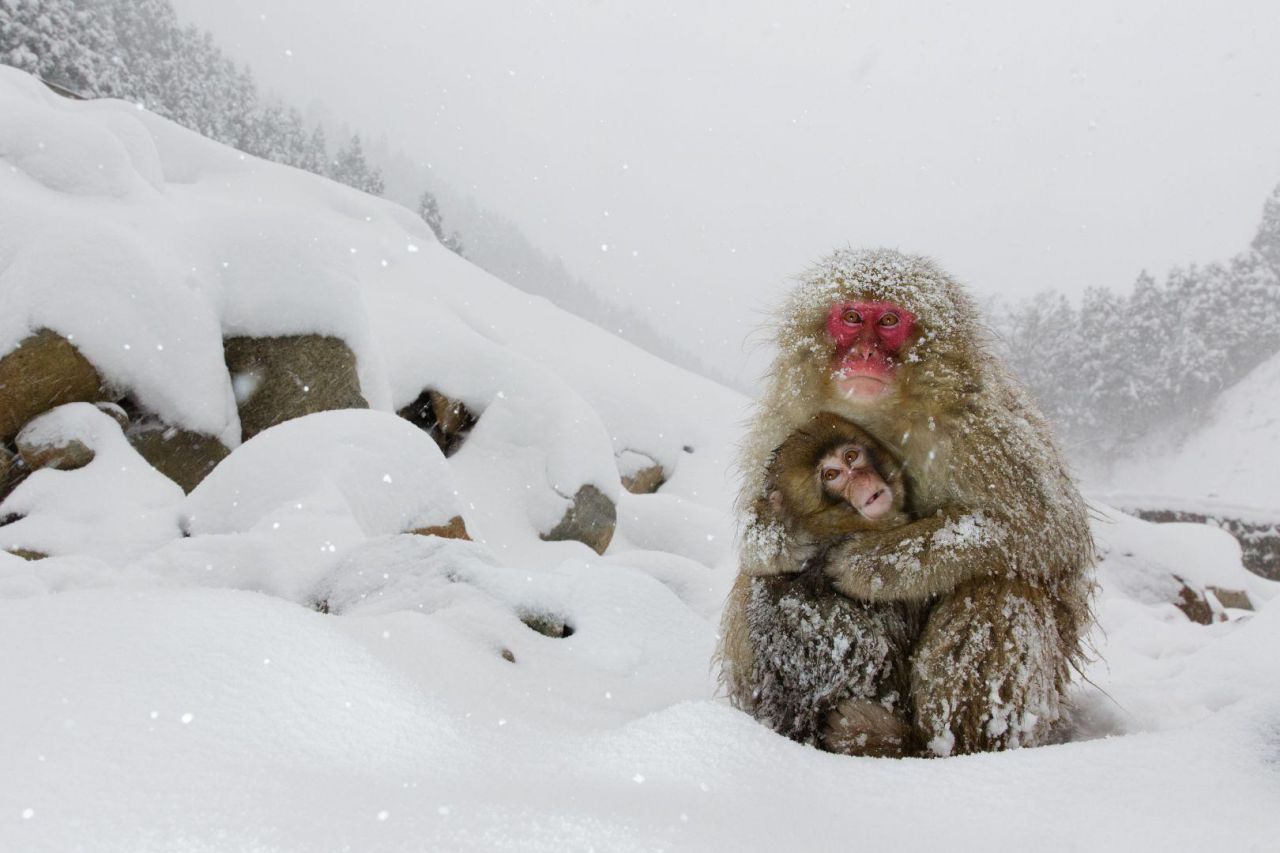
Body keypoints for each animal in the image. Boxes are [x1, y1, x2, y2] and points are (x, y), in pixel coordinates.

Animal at [719, 248, 1095, 758]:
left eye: (889, 320)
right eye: (852, 318)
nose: (865, 353)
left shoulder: (981, 428)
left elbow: (1049, 531)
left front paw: (868, 564)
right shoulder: (787, 416)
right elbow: (761, 534)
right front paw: (778, 536)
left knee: (1001, 587)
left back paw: (947, 747)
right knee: (754, 579)